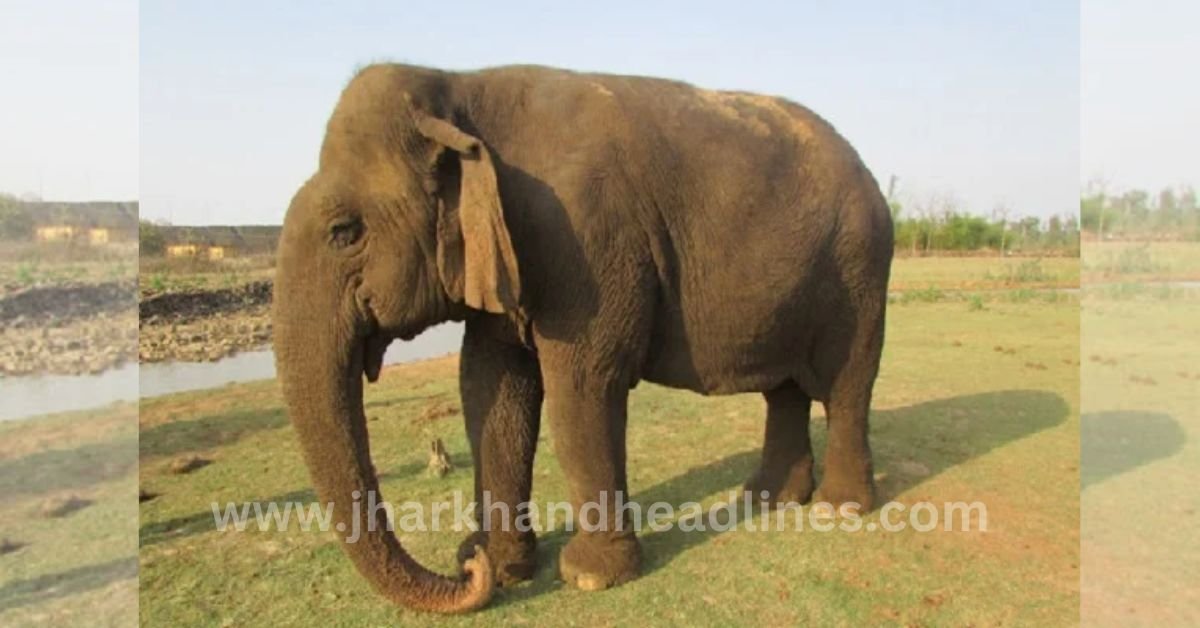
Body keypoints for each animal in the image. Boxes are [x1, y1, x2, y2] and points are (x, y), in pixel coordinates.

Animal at [272, 63, 893, 614]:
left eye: (344, 232)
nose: (466, 567)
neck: (459, 86)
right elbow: (491, 387)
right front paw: (505, 565)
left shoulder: (586, 240)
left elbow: (581, 383)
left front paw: (589, 576)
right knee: (785, 389)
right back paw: (767, 498)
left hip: (860, 268)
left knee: (847, 382)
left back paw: (838, 510)